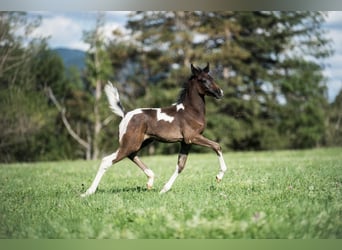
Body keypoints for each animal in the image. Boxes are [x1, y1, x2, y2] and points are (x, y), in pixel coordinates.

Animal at [81, 63, 227, 196]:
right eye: (203, 80)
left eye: (212, 78)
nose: (220, 92)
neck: (190, 111)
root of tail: (125, 114)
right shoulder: (192, 137)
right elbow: (217, 146)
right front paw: (219, 176)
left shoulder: (185, 142)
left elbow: (181, 165)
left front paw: (164, 189)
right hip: (130, 143)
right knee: (107, 160)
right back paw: (89, 191)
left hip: (142, 141)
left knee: (132, 155)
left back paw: (150, 180)